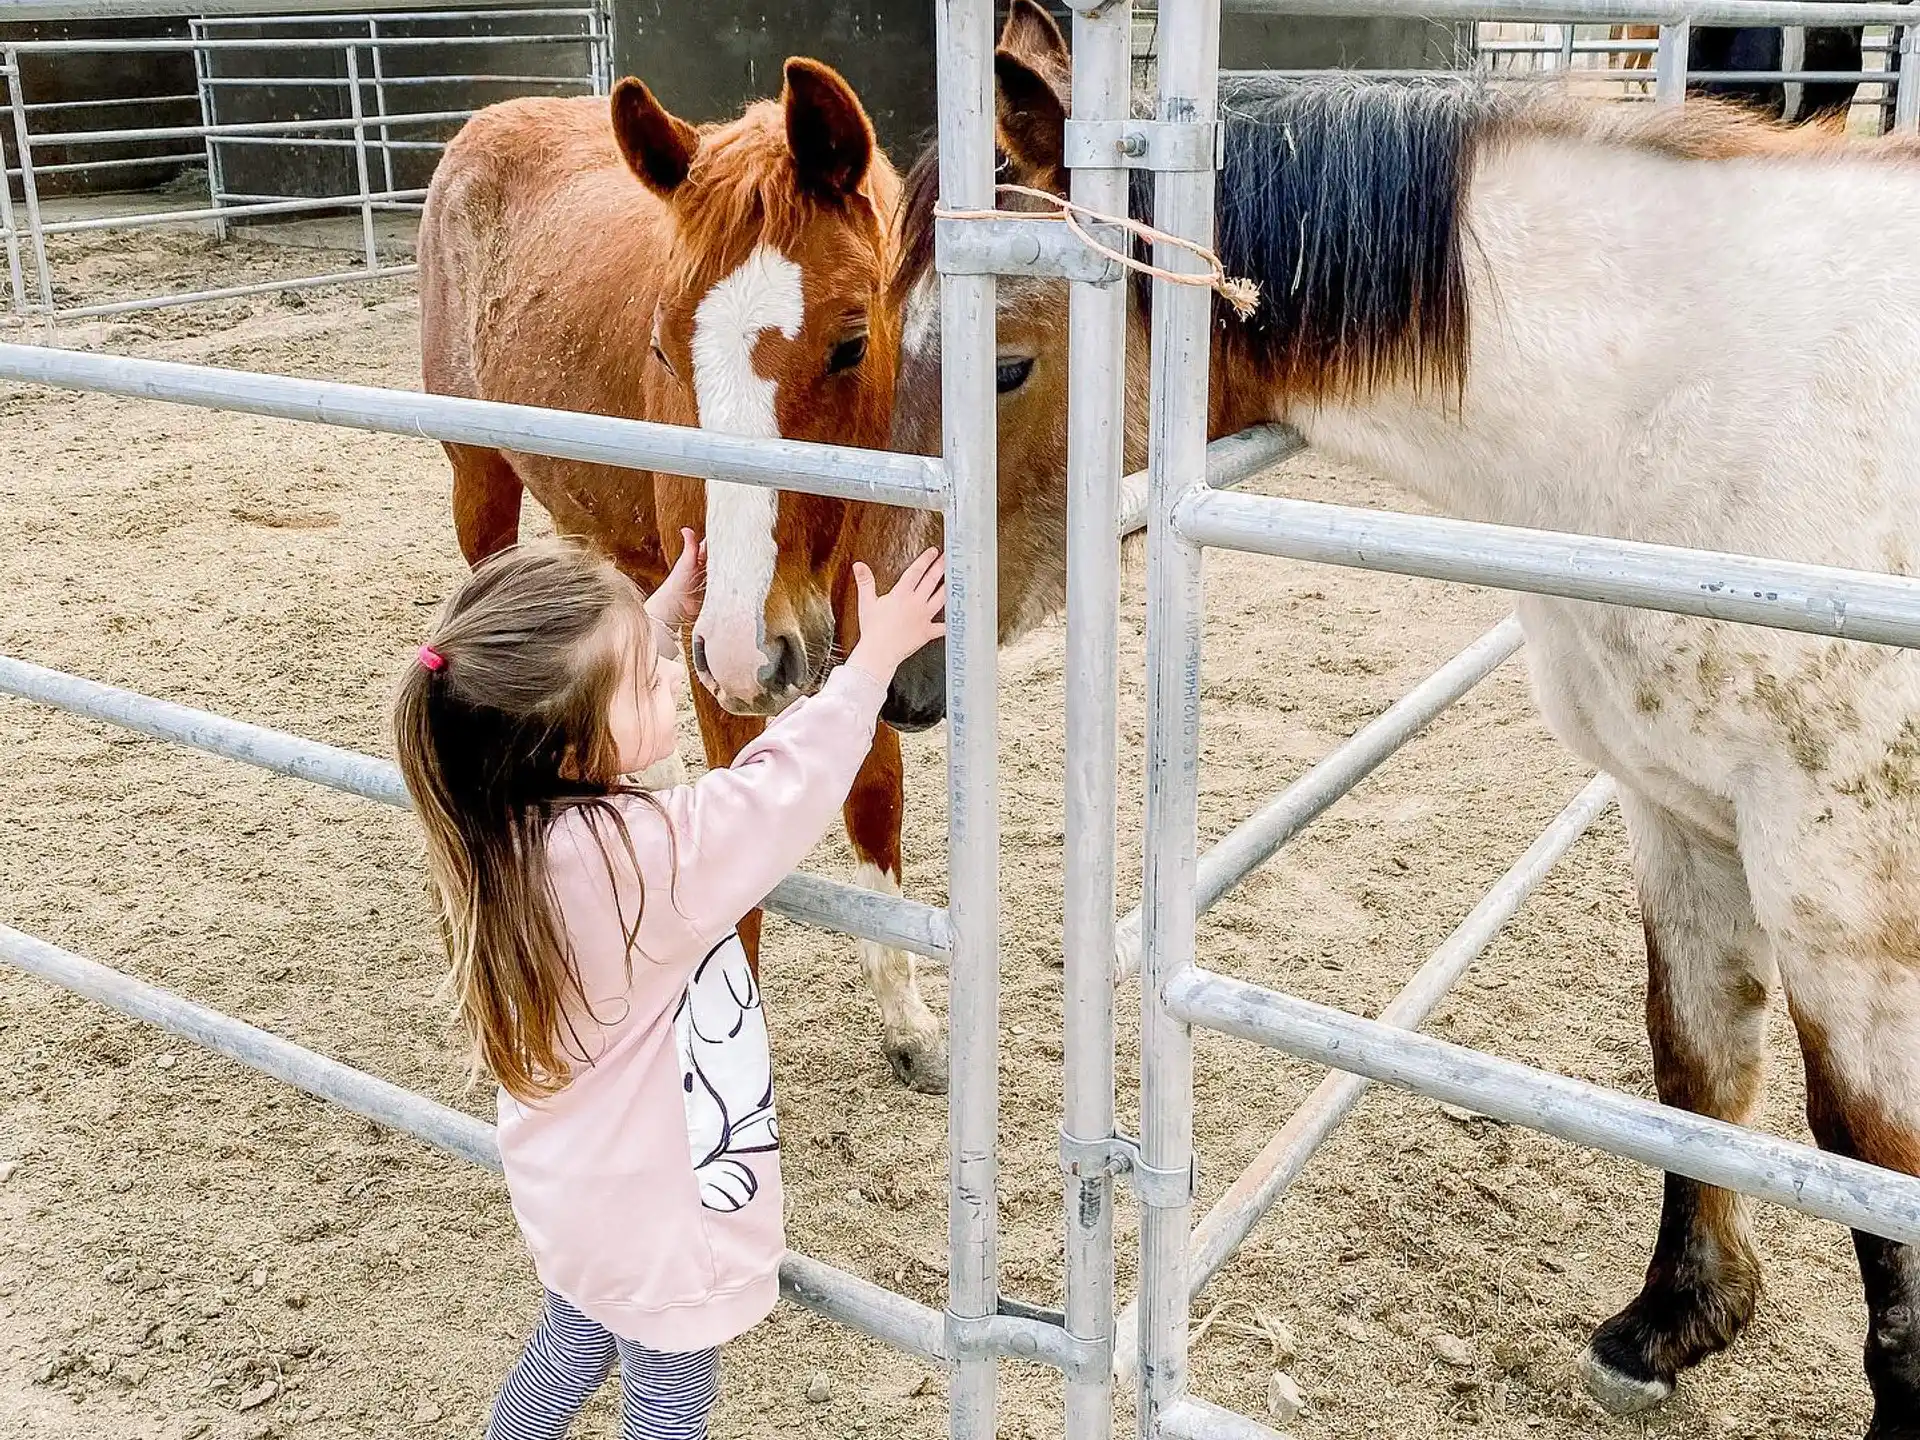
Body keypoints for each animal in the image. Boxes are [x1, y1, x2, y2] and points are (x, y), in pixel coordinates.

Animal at [416, 62, 950, 1093]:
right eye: (663, 347)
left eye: (851, 342)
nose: (750, 648)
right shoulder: (725, 666)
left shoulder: (858, 630)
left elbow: (875, 799)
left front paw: (908, 1023)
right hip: (480, 486)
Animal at [889, 2, 1920, 1427]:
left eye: (1007, 367)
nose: (897, 679)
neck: (1708, 392)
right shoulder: (1681, 816)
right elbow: (1694, 1068)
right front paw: (1673, 1322)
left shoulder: (1844, 896)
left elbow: (1871, 1179)